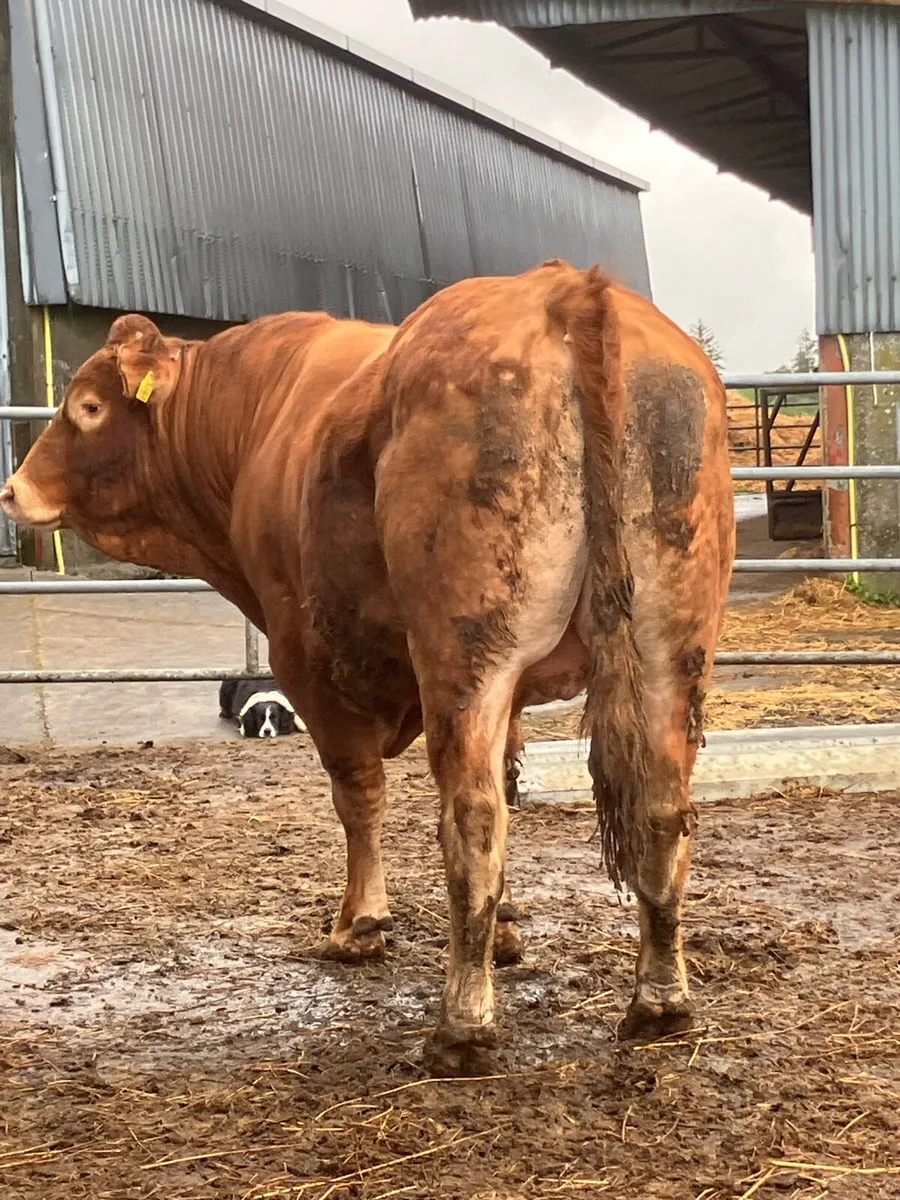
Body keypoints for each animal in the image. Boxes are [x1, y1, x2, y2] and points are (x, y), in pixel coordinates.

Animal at [1, 260, 734, 1075]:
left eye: (88, 407)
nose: (12, 490)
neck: (258, 418)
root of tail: (566, 287)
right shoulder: (517, 694)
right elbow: (511, 786)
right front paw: (509, 932)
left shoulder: (305, 659)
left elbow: (359, 796)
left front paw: (360, 925)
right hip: (673, 646)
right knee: (661, 809)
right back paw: (660, 1002)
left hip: (464, 650)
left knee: (472, 819)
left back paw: (462, 1027)